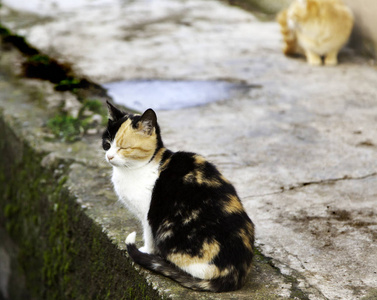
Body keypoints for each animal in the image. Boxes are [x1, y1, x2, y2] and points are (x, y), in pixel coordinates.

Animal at [103, 101, 254, 292]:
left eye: (124, 148)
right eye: (107, 144)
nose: (109, 156)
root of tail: (236, 273)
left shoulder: (148, 215)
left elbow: (149, 235)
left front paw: (146, 251)